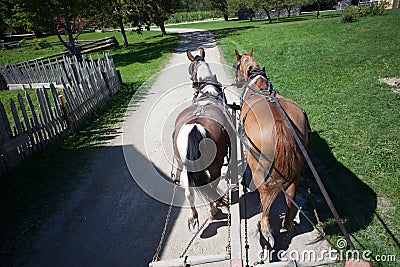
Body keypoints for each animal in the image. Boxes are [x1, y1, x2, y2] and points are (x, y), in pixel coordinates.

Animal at [172, 49, 231, 233]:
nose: (192, 84)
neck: (209, 90)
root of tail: (195, 127)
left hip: (185, 165)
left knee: (189, 192)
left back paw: (194, 217)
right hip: (215, 165)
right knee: (212, 184)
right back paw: (213, 209)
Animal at [234, 49, 310, 248]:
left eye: (236, 66)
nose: (237, 82)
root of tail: (281, 121)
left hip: (257, 161)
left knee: (264, 192)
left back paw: (266, 228)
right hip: (297, 164)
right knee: (291, 190)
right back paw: (288, 223)